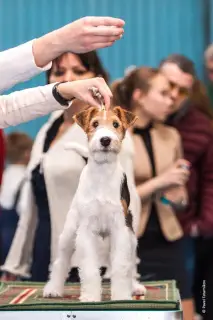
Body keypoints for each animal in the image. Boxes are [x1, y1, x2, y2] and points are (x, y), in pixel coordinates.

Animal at [43, 106, 145, 302]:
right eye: (95, 123)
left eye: (116, 124)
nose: (105, 140)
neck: (102, 172)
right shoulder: (86, 231)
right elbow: (89, 268)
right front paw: (90, 296)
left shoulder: (120, 229)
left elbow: (121, 267)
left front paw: (121, 296)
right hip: (69, 233)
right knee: (61, 262)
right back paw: (53, 289)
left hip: (130, 238)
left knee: (130, 265)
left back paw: (134, 287)